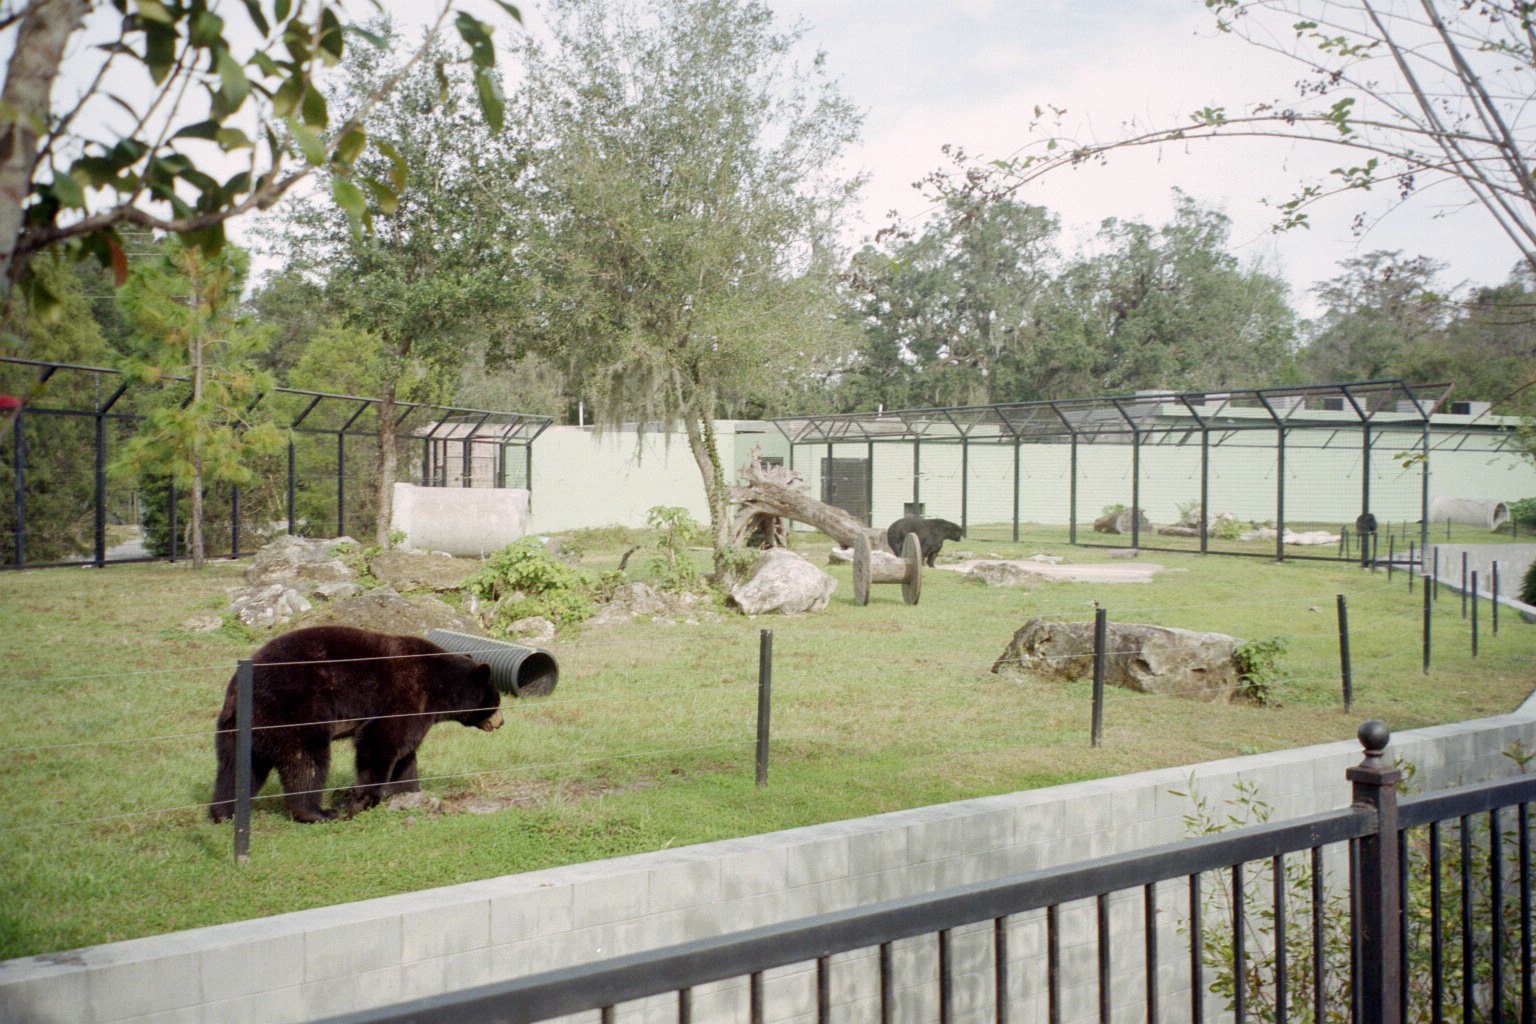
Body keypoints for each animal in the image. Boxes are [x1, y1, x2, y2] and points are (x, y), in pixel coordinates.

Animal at [209, 625, 503, 824]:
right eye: (496, 699)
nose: (501, 722)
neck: (440, 688)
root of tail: (240, 688)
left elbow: (406, 754)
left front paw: (406, 790)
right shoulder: (407, 695)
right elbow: (382, 741)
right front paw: (362, 800)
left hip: (236, 728)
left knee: (236, 766)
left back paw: (223, 812)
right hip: (293, 707)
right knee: (306, 759)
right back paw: (318, 812)